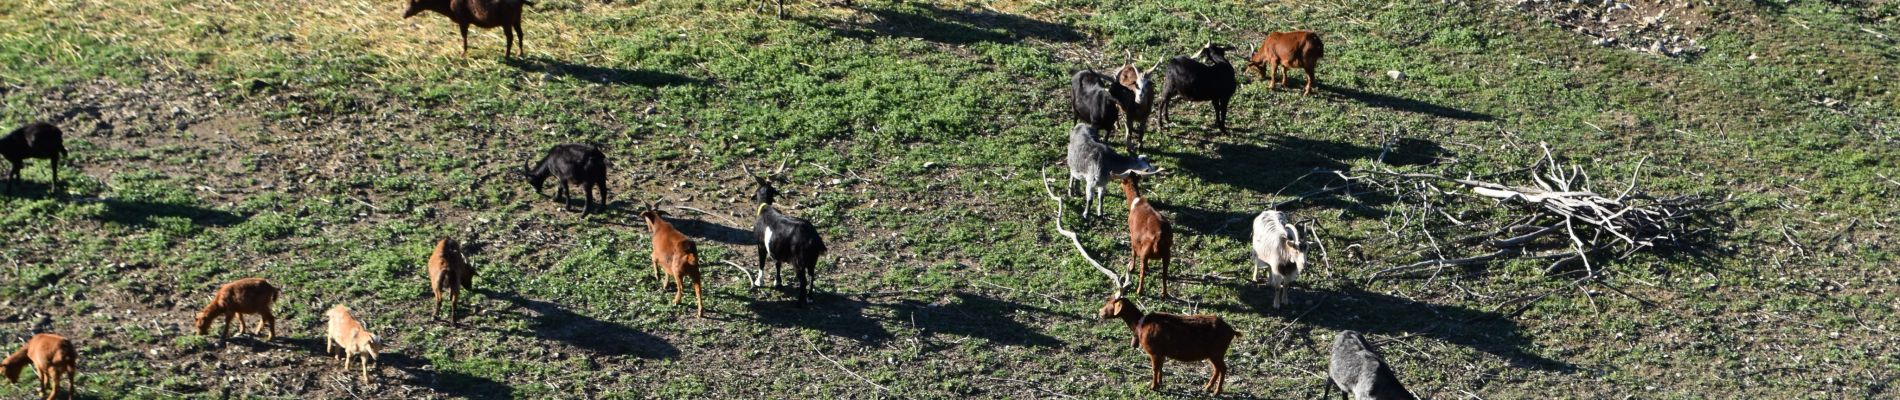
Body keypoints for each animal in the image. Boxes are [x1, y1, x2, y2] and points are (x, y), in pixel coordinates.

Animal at [402, 0, 535, 57]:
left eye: (414, 1)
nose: (404, 14)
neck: (447, 7)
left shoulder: (463, 19)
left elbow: (464, 36)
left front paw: (463, 53)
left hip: (506, 21)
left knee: (510, 37)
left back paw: (506, 55)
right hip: (516, 19)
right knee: (520, 34)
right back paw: (520, 52)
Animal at [744, 164, 828, 307]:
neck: (765, 209)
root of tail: (813, 238)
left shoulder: (761, 245)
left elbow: (762, 262)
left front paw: (759, 282)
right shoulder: (777, 248)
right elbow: (778, 263)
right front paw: (778, 282)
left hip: (798, 262)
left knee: (803, 280)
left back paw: (799, 303)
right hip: (812, 259)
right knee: (812, 275)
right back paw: (810, 298)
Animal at [1102, 295, 1246, 396]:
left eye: (1110, 302)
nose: (1100, 312)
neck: (1141, 324)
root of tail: (1232, 331)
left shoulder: (1154, 351)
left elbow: (1154, 368)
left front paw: (1153, 387)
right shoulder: (1161, 353)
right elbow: (1160, 367)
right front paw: (1160, 383)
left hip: (1217, 352)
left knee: (1223, 369)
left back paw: (1216, 392)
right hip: (1213, 354)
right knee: (1217, 369)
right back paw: (1207, 387)